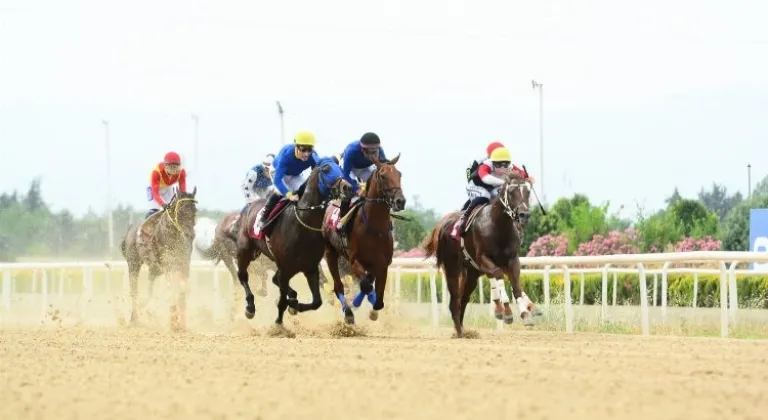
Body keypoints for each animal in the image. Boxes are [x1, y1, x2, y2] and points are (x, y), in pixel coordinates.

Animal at [120, 188, 198, 332]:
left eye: (195, 210)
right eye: (181, 210)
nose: (190, 234)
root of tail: (129, 232)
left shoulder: (183, 263)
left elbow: (183, 287)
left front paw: (182, 325)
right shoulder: (168, 264)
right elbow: (173, 287)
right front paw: (173, 322)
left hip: (154, 269)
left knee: (150, 288)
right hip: (134, 263)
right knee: (134, 289)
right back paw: (134, 319)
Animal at [234, 158, 354, 328]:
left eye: (340, 168)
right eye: (326, 169)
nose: (348, 187)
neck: (303, 224)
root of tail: (250, 205)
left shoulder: (311, 268)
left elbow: (316, 302)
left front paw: (294, 306)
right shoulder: (285, 268)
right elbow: (282, 301)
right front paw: (278, 325)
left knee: (274, 279)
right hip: (246, 251)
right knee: (243, 275)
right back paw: (250, 307)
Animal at [322, 154, 408, 324]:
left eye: (399, 174)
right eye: (383, 176)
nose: (400, 201)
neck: (374, 228)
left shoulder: (382, 263)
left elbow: (376, 294)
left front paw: (373, 308)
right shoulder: (354, 261)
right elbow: (366, 286)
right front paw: (357, 305)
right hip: (331, 253)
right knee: (338, 286)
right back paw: (348, 312)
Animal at [420, 174, 540, 338]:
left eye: (528, 191)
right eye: (511, 192)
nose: (524, 215)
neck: (498, 227)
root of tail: (443, 224)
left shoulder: (512, 260)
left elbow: (516, 285)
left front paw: (525, 314)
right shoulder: (484, 260)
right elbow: (498, 275)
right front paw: (507, 312)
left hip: (472, 274)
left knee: (463, 299)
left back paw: (462, 329)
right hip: (452, 269)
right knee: (454, 302)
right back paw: (459, 332)